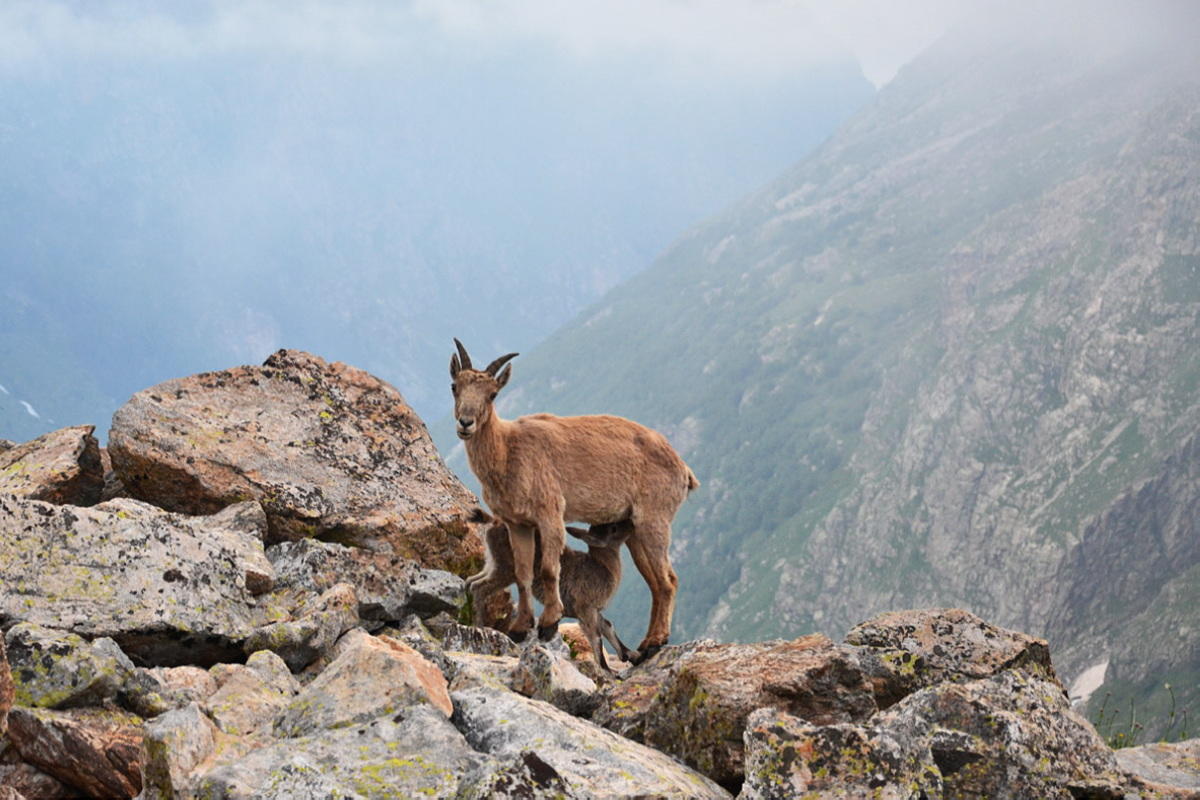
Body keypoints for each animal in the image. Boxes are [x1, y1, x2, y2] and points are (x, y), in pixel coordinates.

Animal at [448, 340, 696, 662]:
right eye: (454, 386)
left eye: (492, 394)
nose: (466, 423)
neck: (507, 451)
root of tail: (683, 469)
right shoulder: (518, 523)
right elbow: (524, 572)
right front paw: (520, 626)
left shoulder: (550, 513)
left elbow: (548, 568)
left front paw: (549, 623)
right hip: (632, 529)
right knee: (654, 582)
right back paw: (645, 645)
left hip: (654, 519)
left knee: (668, 580)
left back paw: (655, 641)